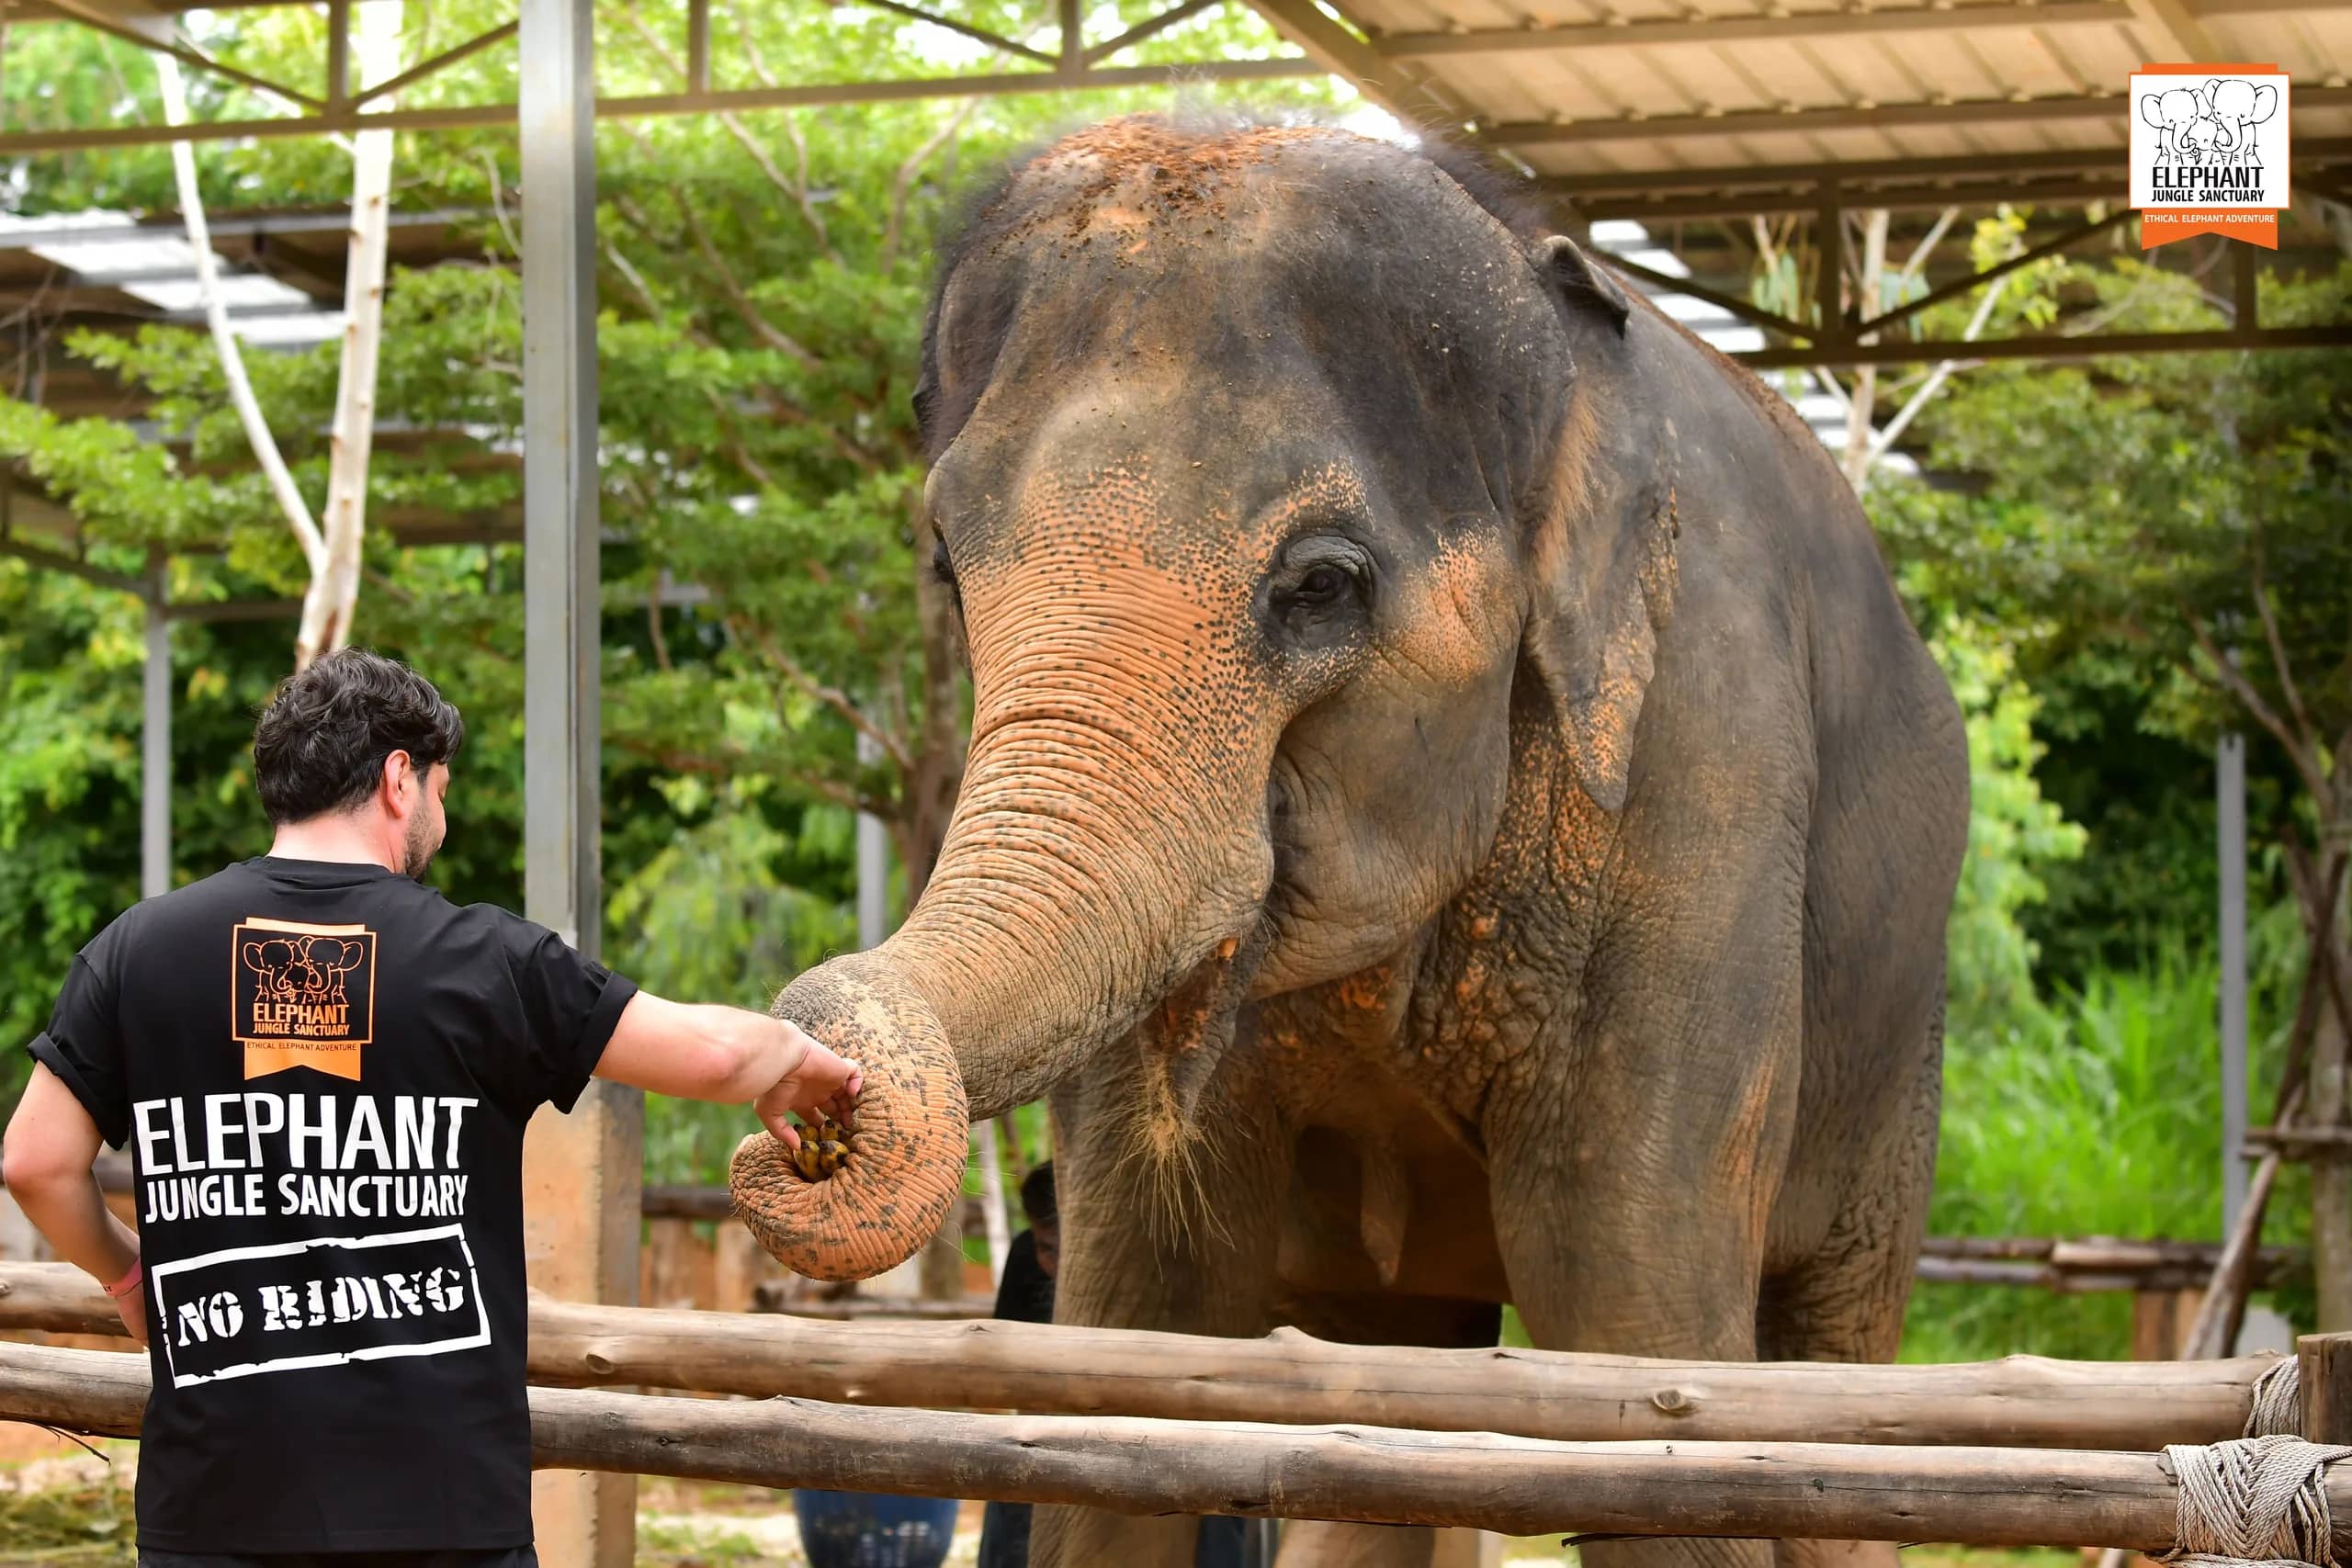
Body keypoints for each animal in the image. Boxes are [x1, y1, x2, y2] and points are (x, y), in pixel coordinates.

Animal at [730, 118, 1970, 1568]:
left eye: (1322, 583)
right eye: (943, 559)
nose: (801, 1123)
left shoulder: (1700, 766)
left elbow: (1631, 1301)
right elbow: (1142, 1301)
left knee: (1828, 1347)